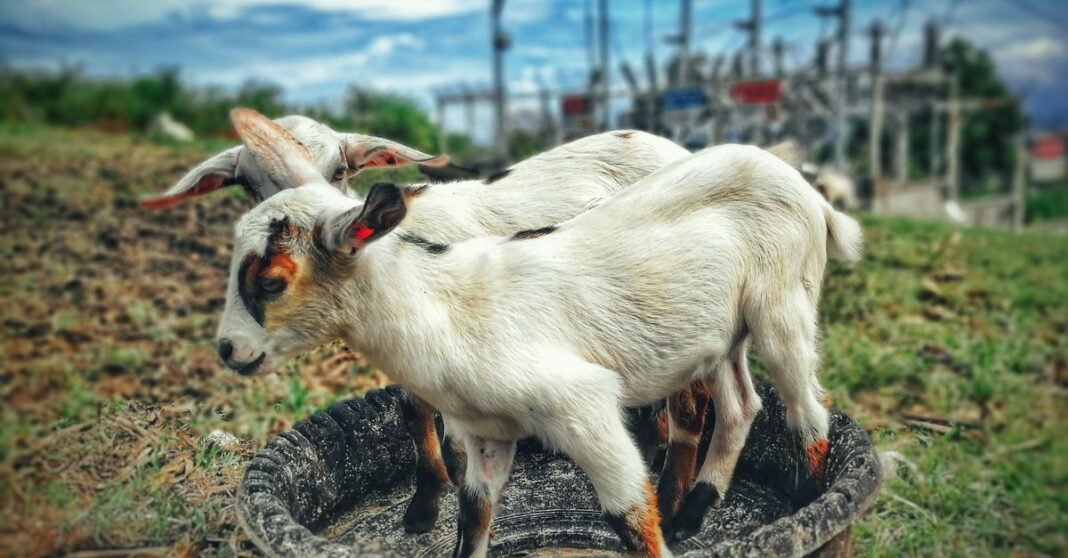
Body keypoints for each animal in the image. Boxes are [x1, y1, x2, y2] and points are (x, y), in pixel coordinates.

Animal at [211, 110, 863, 557]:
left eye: (271, 281)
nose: (229, 349)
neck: (443, 308)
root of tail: (804, 188)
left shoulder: (584, 410)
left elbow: (632, 520)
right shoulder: (486, 437)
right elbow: (473, 518)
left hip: (783, 306)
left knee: (807, 412)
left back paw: (806, 510)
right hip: (721, 333)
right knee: (741, 405)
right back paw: (695, 512)